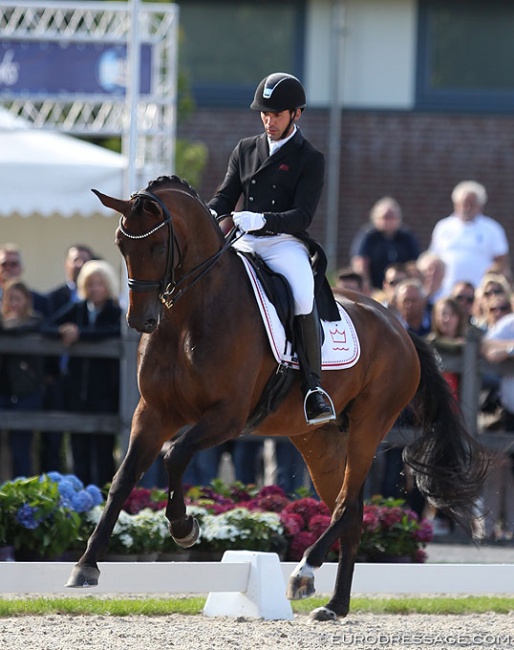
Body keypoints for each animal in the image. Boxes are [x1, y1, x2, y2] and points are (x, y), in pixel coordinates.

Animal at [66, 175, 486, 620]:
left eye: (159, 246)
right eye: (120, 245)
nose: (141, 320)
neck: (188, 317)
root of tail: (401, 328)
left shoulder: (227, 417)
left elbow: (174, 455)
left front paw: (184, 528)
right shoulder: (152, 413)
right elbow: (123, 479)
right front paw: (86, 566)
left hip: (369, 427)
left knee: (346, 505)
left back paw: (305, 571)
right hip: (319, 440)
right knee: (352, 511)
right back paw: (334, 605)